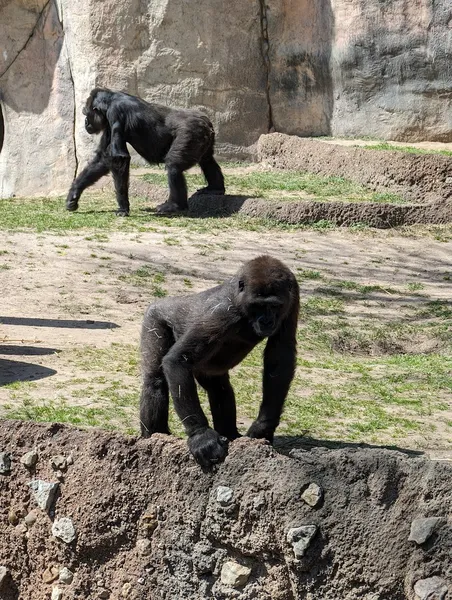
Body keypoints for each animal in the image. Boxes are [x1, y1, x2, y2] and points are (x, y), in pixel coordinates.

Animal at [65, 90, 224, 217]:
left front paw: (123, 208)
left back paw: (174, 206)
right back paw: (215, 189)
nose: (85, 122)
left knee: (174, 166)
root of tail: (206, 120)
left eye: (86, 114)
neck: (110, 101)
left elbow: (118, 159)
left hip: (190, 132)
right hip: (202, 135)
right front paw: (74, 194)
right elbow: (102, 159)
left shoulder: (115, 113)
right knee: (207, 160)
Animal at [139, 253, 298, 468]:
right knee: (154, 379)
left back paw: (230, 434)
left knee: (219, 388)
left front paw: (263, 427)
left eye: (275, 306)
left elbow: (280, 356)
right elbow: (178, 359)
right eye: (258, 306)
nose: (267, 321)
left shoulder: (293, 293)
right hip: (154, 317)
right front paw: (201, 436)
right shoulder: (221, 311)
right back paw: (155, 436)